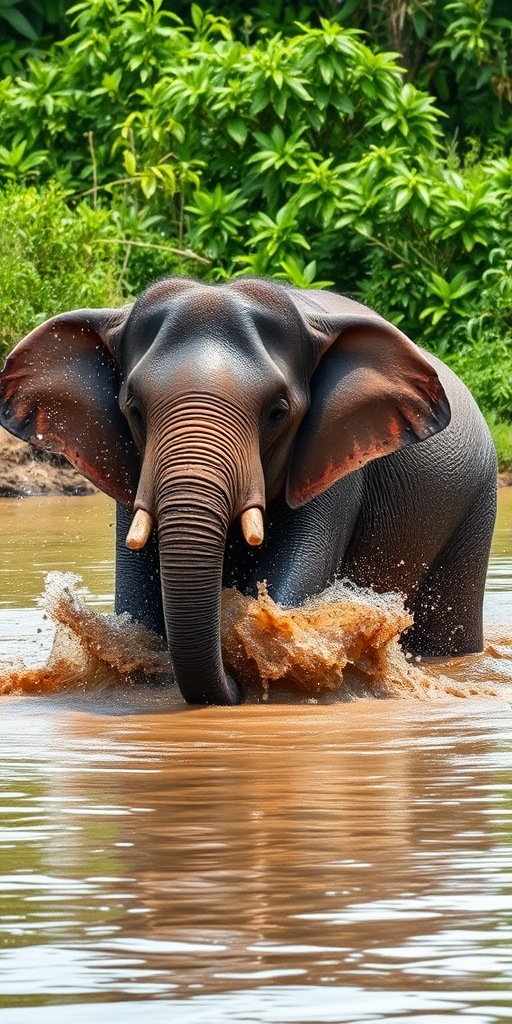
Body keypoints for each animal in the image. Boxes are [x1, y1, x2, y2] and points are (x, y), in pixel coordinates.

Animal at [0, 277, 497, 705]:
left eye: (278, 412)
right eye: (134, 409)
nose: (235, 687)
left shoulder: (335, 465)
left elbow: (295, 567)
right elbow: (138, 597)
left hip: (478, 503)